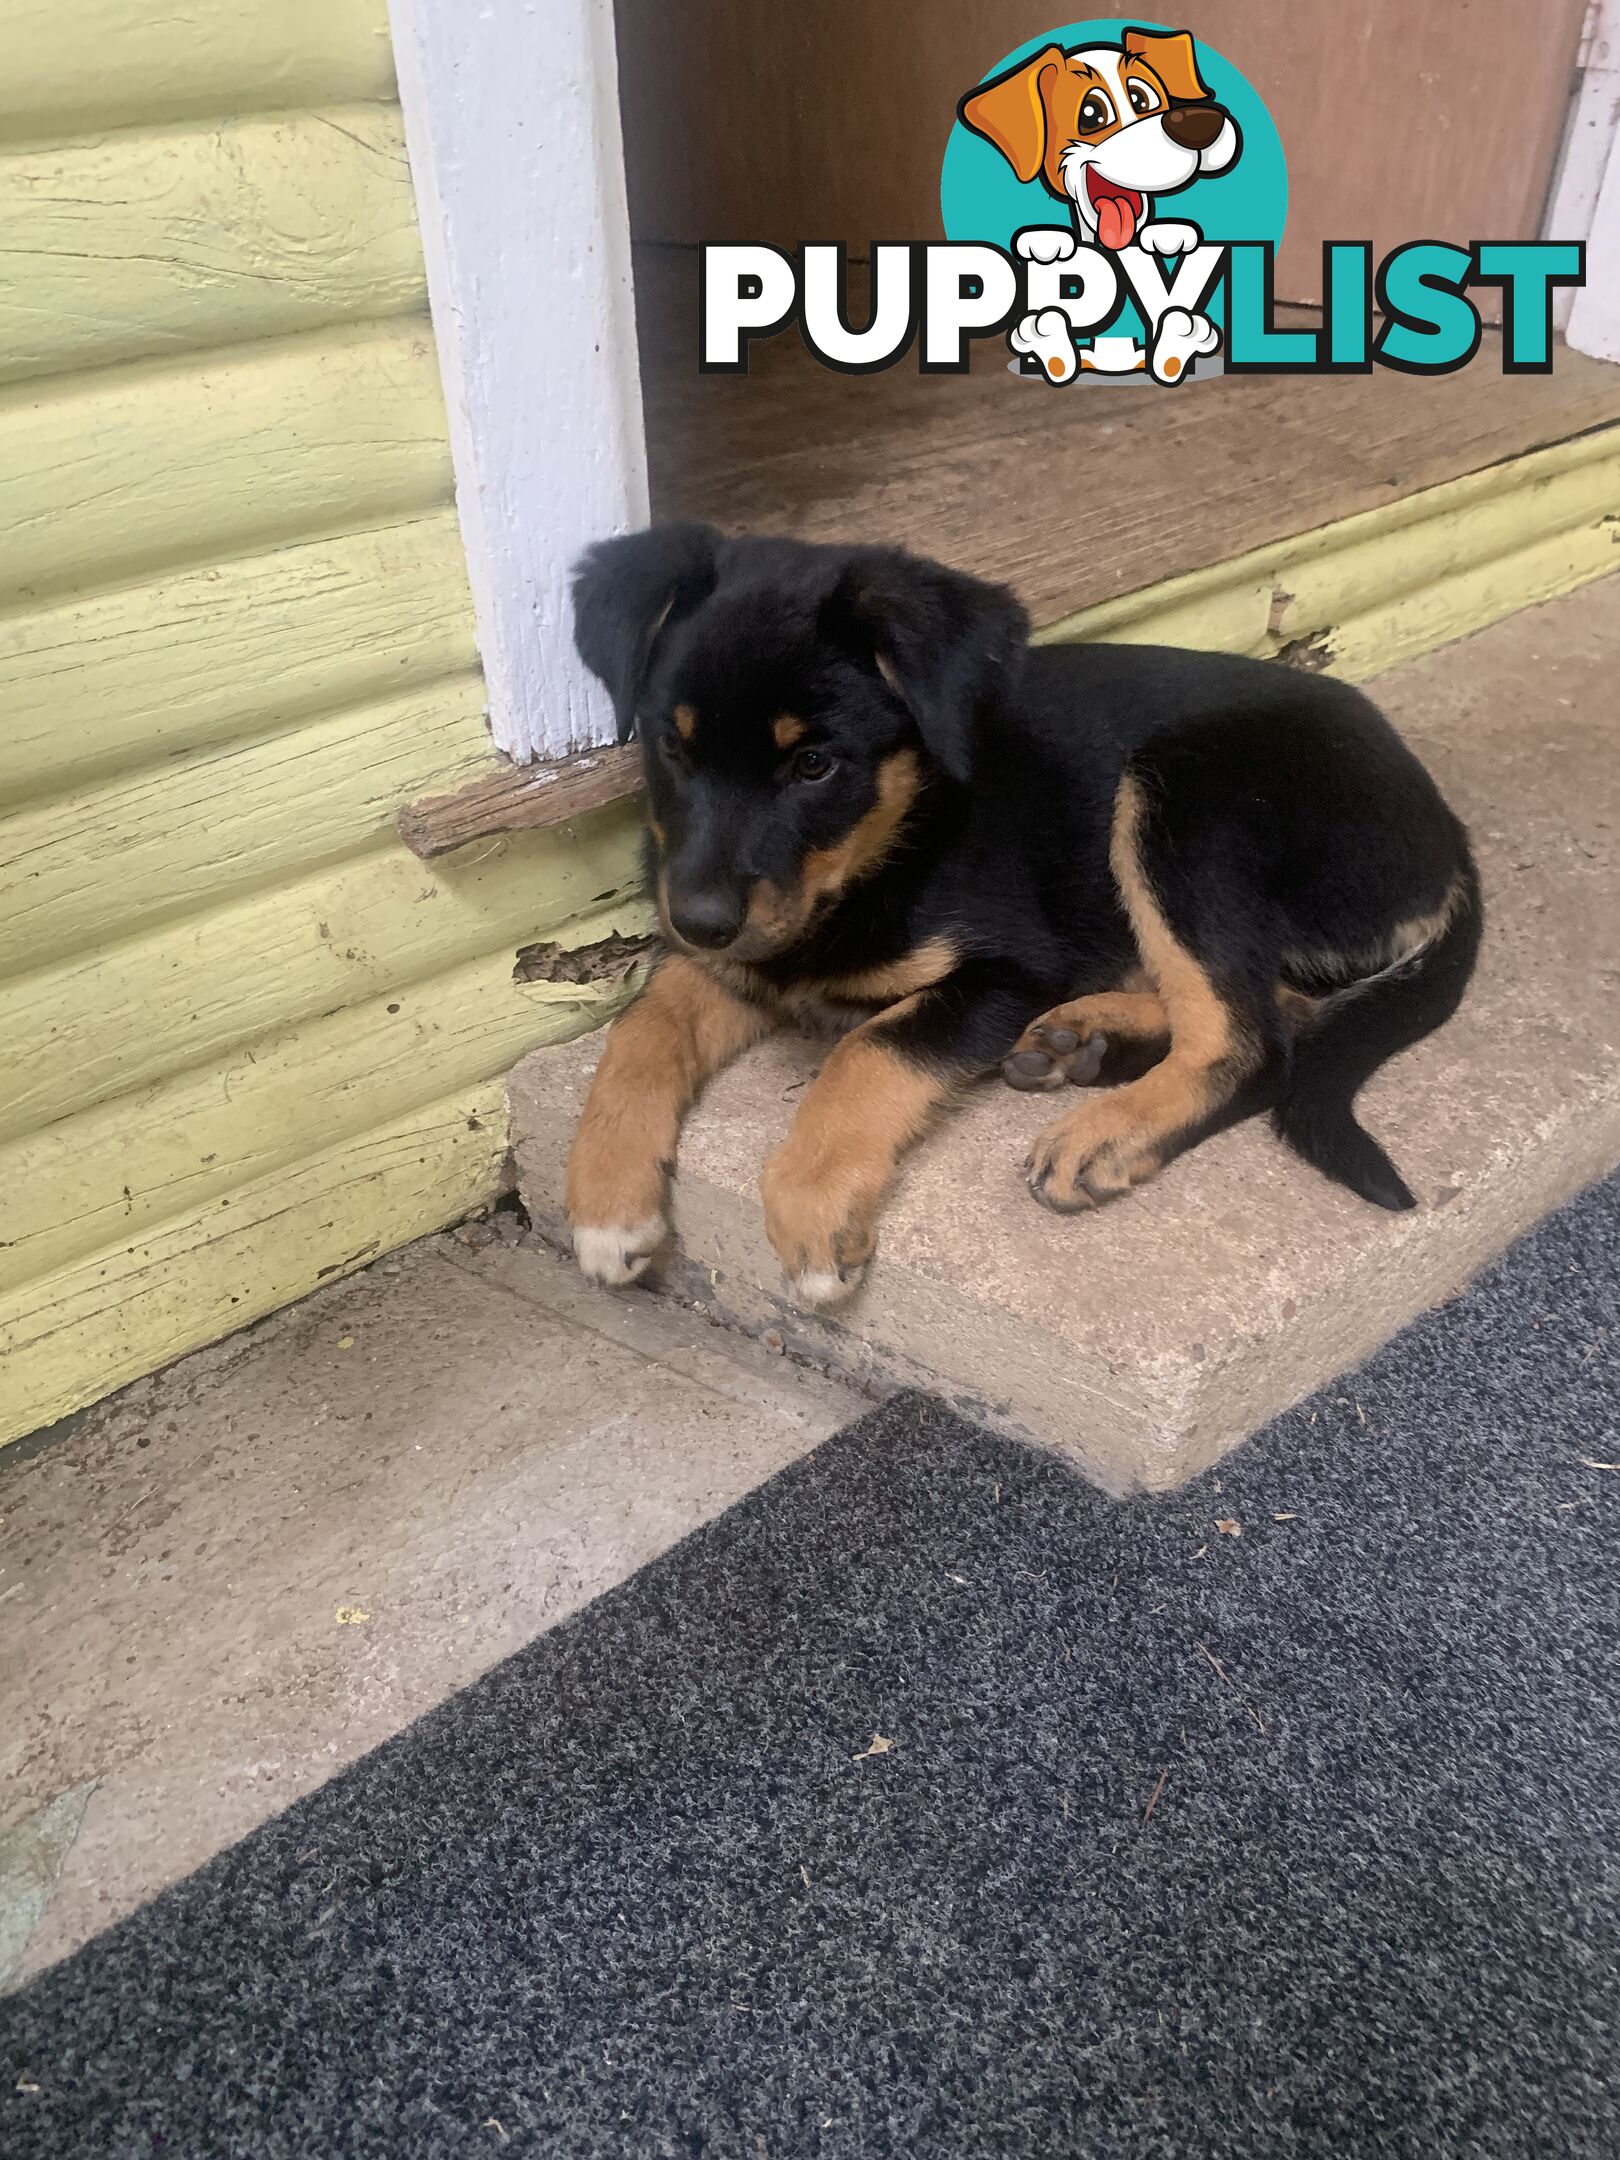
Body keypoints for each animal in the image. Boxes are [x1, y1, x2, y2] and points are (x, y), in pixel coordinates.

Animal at [565, 531, 1486, 1304]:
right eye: (672, 746)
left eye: (815, 764)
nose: (697, 919)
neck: (896, 839)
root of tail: (1447, 830)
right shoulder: (737, 958)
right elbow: (641, 1032)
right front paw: (606, 1205)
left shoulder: (1011, 968)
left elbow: (871, 1049)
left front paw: (811, 1208)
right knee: (1284, 1002)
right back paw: (1090, 1040)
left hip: (1184, 793)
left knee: (1254, 1040)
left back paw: (1107, 1130)